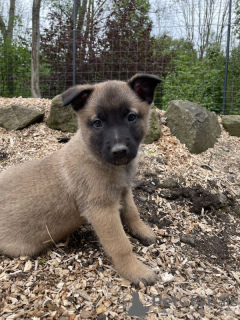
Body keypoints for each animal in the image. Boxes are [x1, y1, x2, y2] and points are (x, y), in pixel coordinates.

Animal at [0, 74, 162, 284]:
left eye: (131, 117)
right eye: (97, 123)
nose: (119, 151)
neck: (95, 156)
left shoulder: (123, 191)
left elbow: (132, 213)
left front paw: (143, 231)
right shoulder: (102, 211)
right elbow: (121, 245)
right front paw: (135, 271)